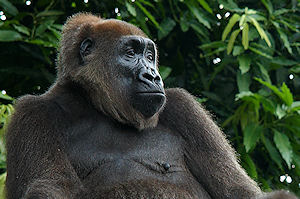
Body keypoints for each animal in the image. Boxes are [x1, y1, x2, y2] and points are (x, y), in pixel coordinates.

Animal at [4, 13, 298, 198]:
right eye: (130, 53)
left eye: (149, 55)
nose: (153, 76)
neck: (97, 106)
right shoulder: (32, 114)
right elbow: (50, 186)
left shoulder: (183, 108)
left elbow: (236, 188)